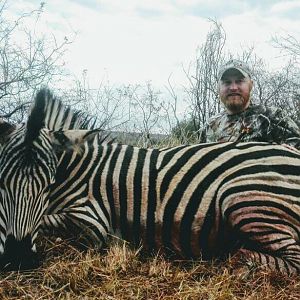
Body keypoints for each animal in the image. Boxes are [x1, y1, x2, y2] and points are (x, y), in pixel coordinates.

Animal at [0, 89, 300, 274]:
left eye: (47, 185)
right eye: (2, 182)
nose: (18, 258)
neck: (79, 169)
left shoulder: (94, 223)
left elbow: (47, 220)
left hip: (242, 199)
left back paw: (238, 258)